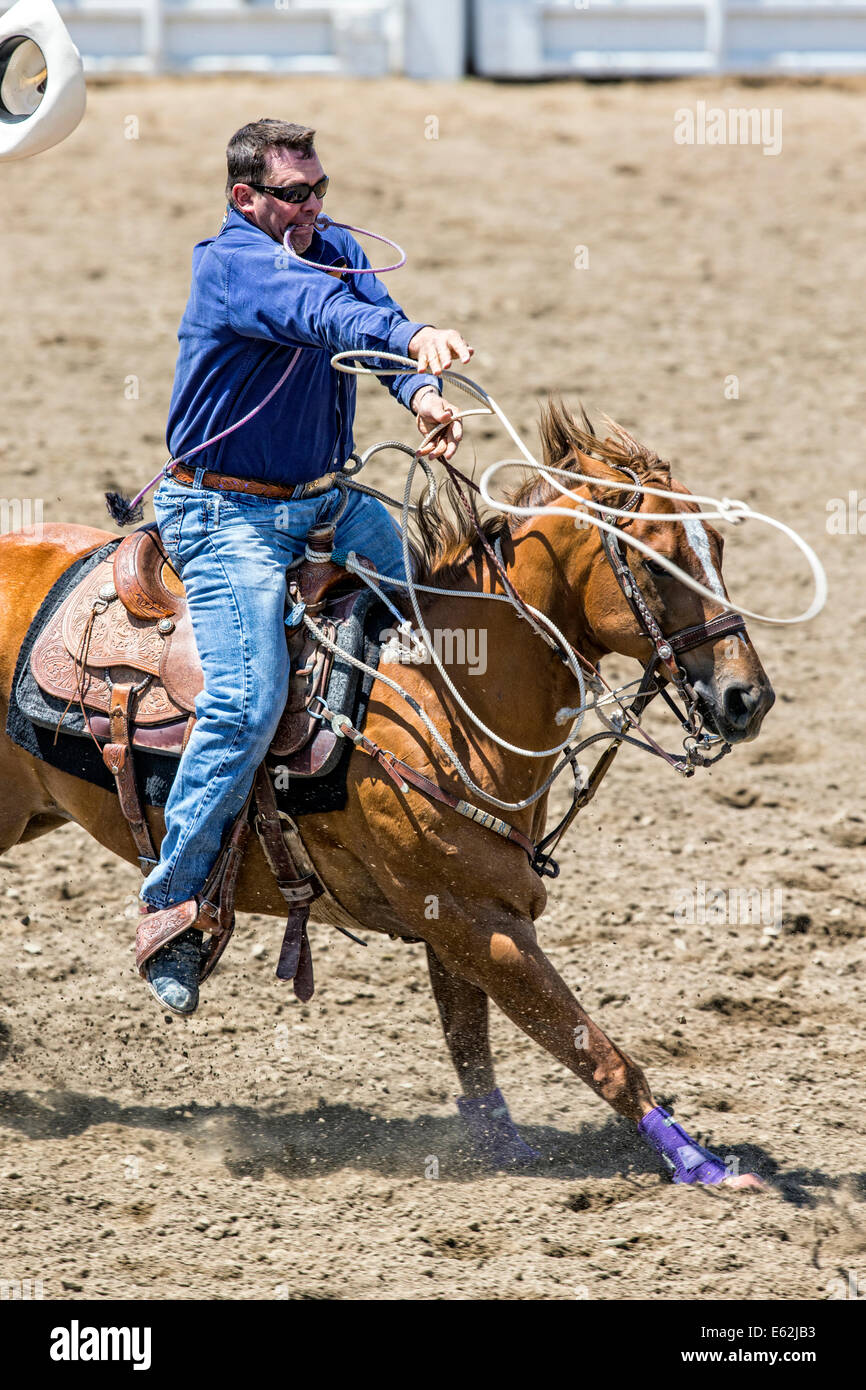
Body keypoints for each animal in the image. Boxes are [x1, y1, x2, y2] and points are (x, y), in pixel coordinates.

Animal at [0, 405, 772, 1189]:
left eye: (719, 544)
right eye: (656, 561)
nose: (748, 698)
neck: (447, 694)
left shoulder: (460, 915)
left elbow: (471, 1041)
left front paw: (501, 1148)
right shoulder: (476, 921)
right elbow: (596, 1052)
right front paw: (702, 1163)